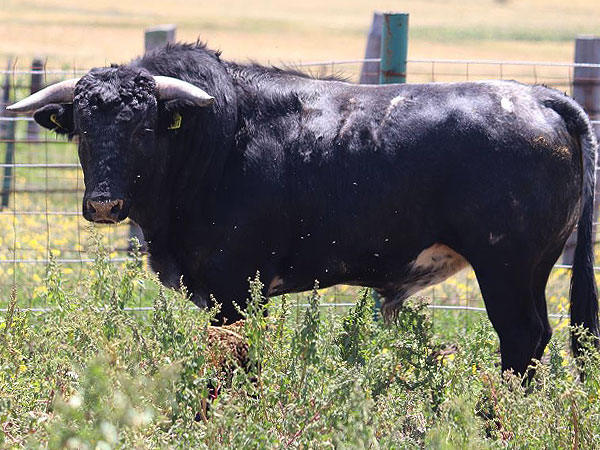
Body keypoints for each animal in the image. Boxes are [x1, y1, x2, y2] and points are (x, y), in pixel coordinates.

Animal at [7, 43, 596, 376]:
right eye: (83, 130)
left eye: (144, 127)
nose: (105, 203)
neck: (215, 143)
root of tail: (541, 98)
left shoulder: (233, 290)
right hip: (530, 270)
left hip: (506, 269)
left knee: (521, 339)